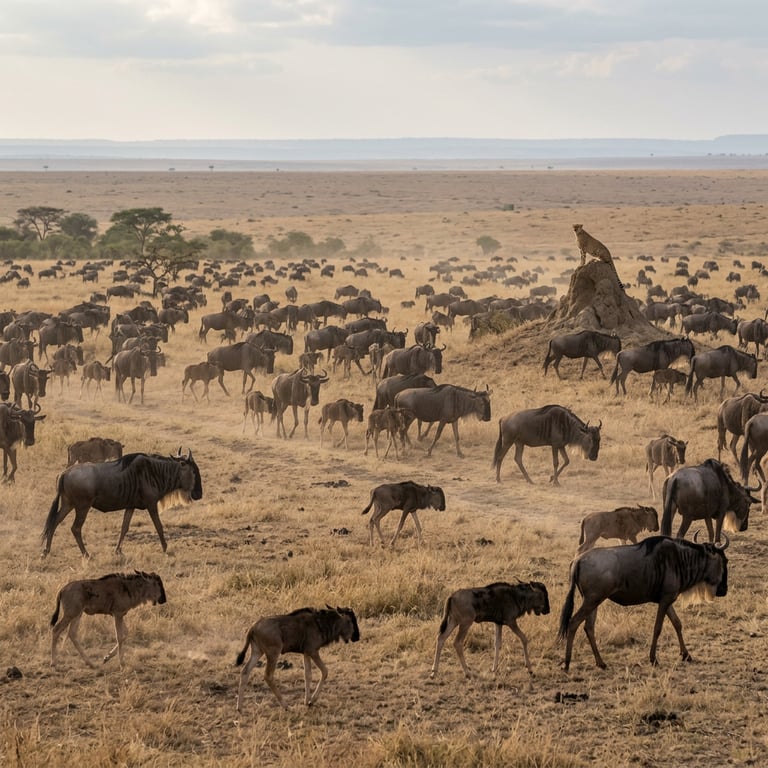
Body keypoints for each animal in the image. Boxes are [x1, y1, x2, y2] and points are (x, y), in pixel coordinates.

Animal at [41, 449, 203, 557]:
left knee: (54, 522)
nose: (199, 494)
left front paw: (118, 550)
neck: (155, 472)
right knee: (75, 528)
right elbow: (159, 526)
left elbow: (124, 528)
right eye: (194, 471)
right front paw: (165, 548)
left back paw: (46, 552)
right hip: (82, 507)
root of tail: (65, 473)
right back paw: (86, 554)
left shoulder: (130, 506)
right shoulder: (151, 505)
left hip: (68, 504)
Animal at [559, 535, 729, 670]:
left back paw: (601, 663)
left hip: (593, 602)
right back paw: (567, 663)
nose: (724, 590)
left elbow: (677, 623)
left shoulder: (667, 600)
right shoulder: (665, 600)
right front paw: (653, 659)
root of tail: (578, 560)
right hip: (591, 601)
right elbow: (658, 628)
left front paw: (686, 655)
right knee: (573, 622)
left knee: (588, 627)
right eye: (725, 561)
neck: (680, 559)